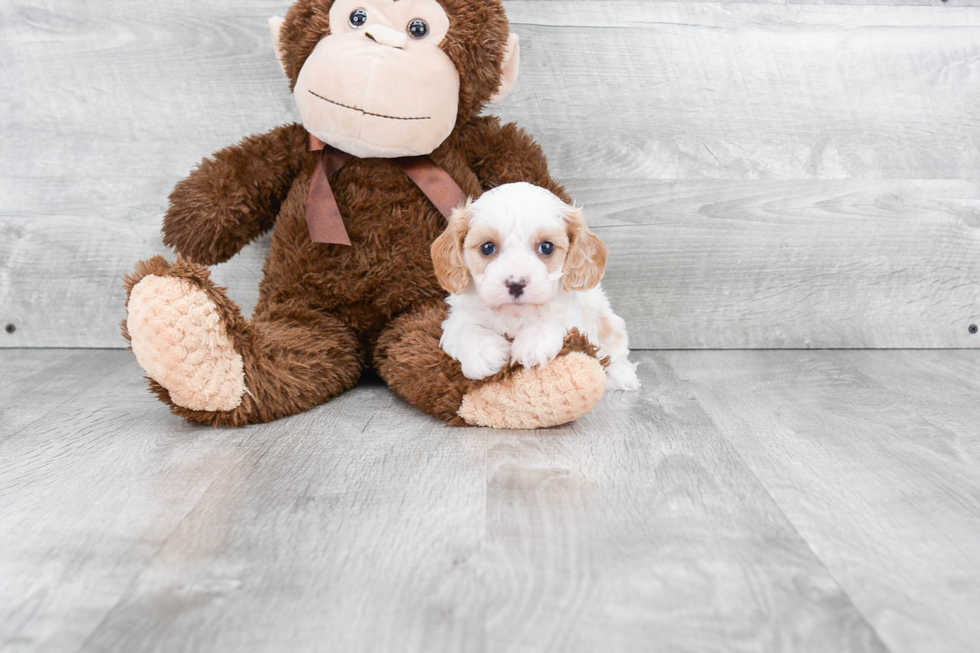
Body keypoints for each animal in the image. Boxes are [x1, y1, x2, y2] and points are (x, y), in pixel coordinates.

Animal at [432, 181, 640, 390]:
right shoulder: (457, 318)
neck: (514, 316)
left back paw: (622, 375)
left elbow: (557, 319)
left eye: (546, 247)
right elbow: (466, 328)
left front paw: (533, 342)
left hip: (608, 319)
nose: (516, 285)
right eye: (487, 247)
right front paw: (484, 354)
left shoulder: (574, 316)